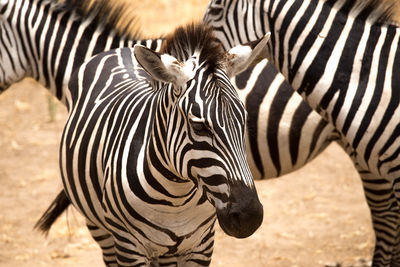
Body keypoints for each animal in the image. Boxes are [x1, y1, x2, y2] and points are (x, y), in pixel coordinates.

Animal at [56, 23, 268, 266]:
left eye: (244, 119)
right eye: (199, 127)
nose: (250, 217)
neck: (177, 198)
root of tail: (119, 50)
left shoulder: (202, 245)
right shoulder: (129, 247)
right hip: (101, 230)